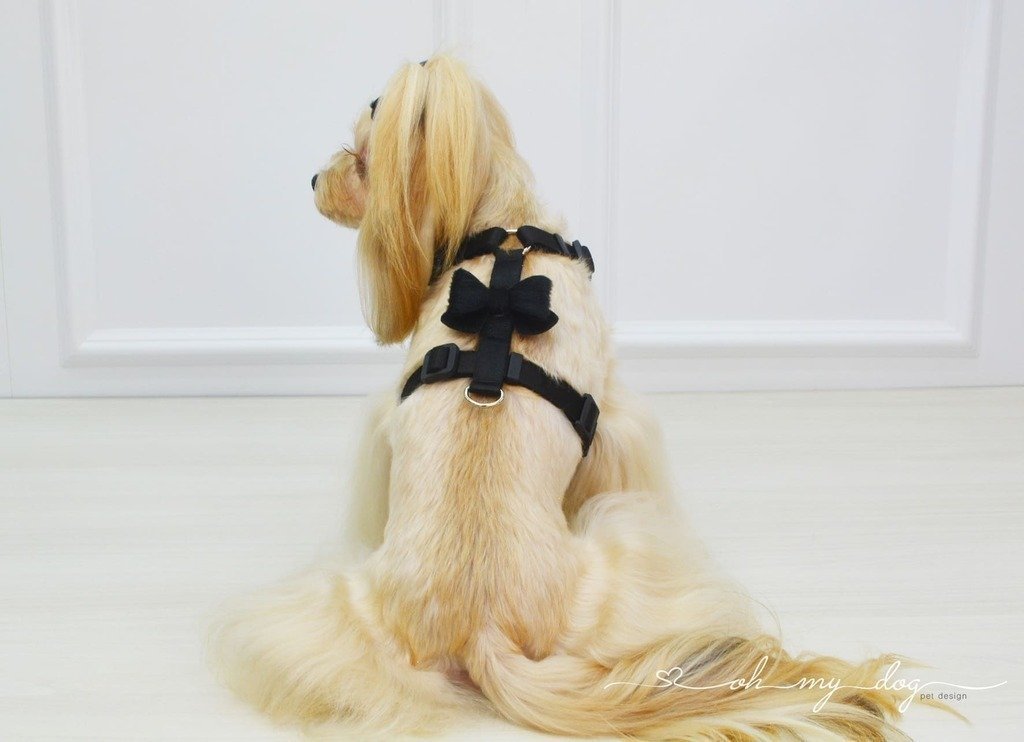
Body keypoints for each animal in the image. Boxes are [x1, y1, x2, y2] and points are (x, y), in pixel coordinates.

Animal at [212, 55, 934, 740]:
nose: (313, 181)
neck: (506, 233)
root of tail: (479, 635)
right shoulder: (616, 417)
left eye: (361, 158)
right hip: (625, 552)